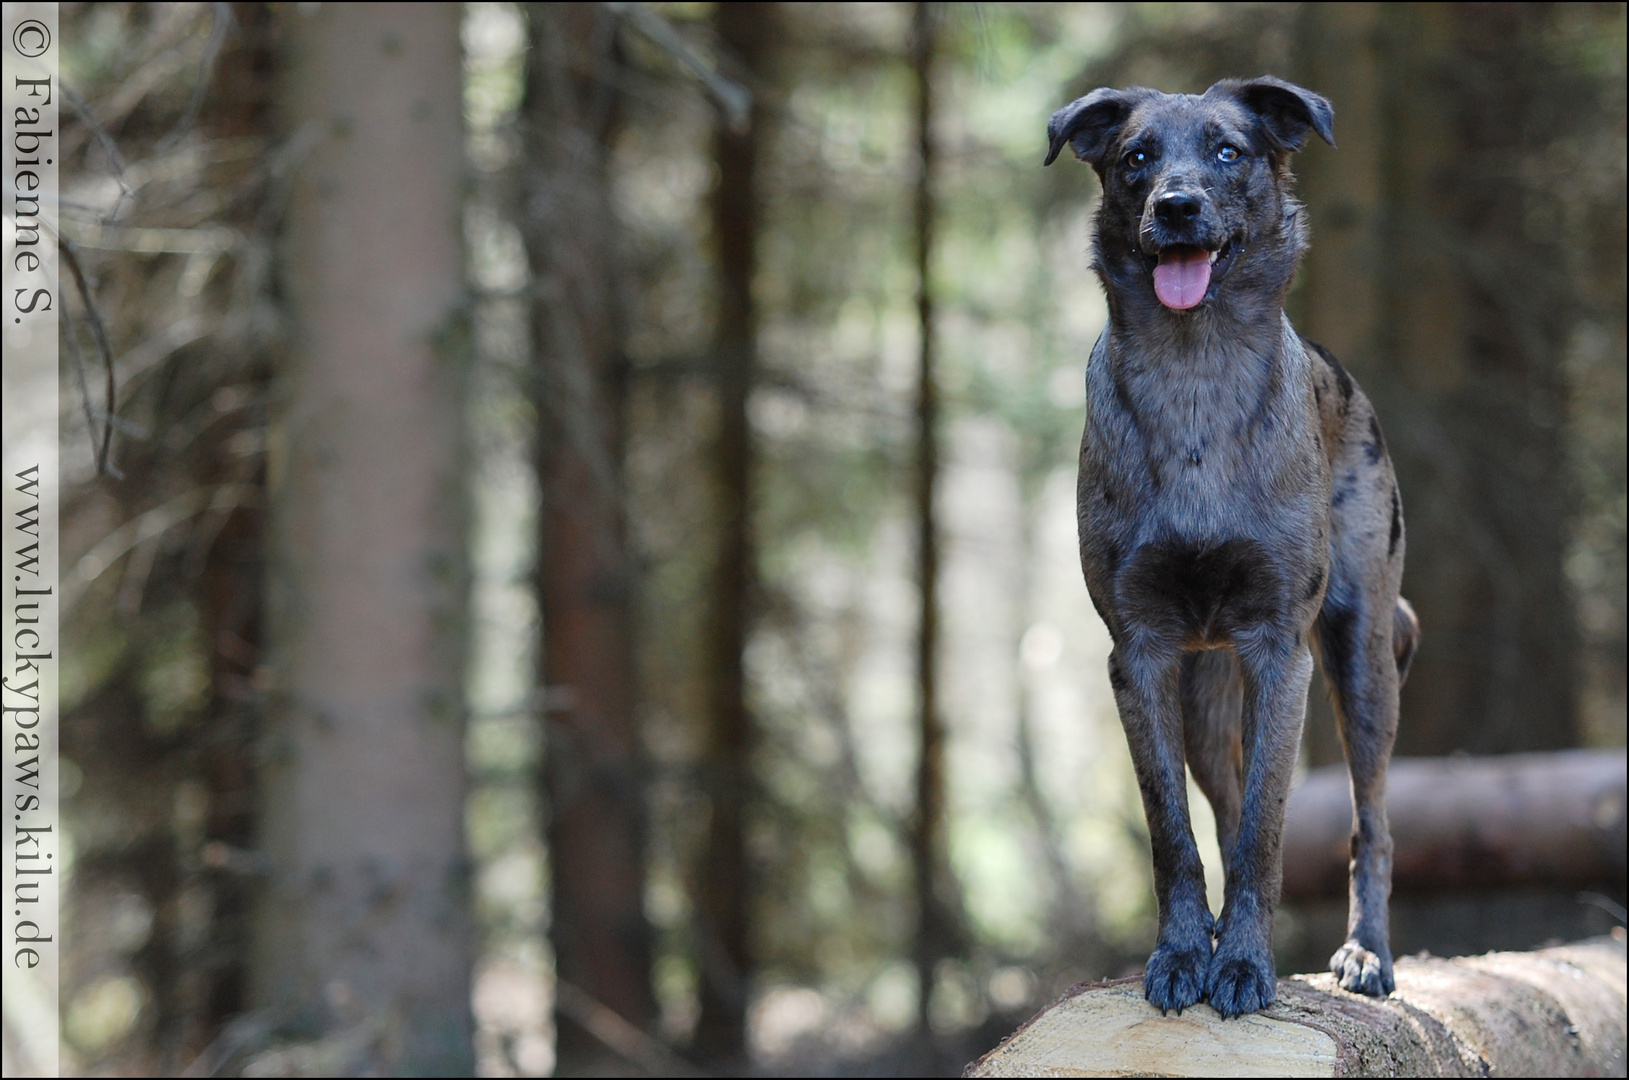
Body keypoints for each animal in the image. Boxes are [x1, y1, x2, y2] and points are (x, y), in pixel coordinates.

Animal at [1049, 80, 1420, 1016]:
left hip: (1358, 657)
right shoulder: (1141, 655)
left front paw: (1246, 966)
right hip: (1206, 697)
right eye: (1135, 158)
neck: (1194, 377)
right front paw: (1184, 955)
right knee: (1218, 806)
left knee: (1371, 820)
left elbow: (1266, 830)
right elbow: (1172, 832)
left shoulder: (1278, 651)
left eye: (1228, 151)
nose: (1175, 207)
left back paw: (1366, 954)